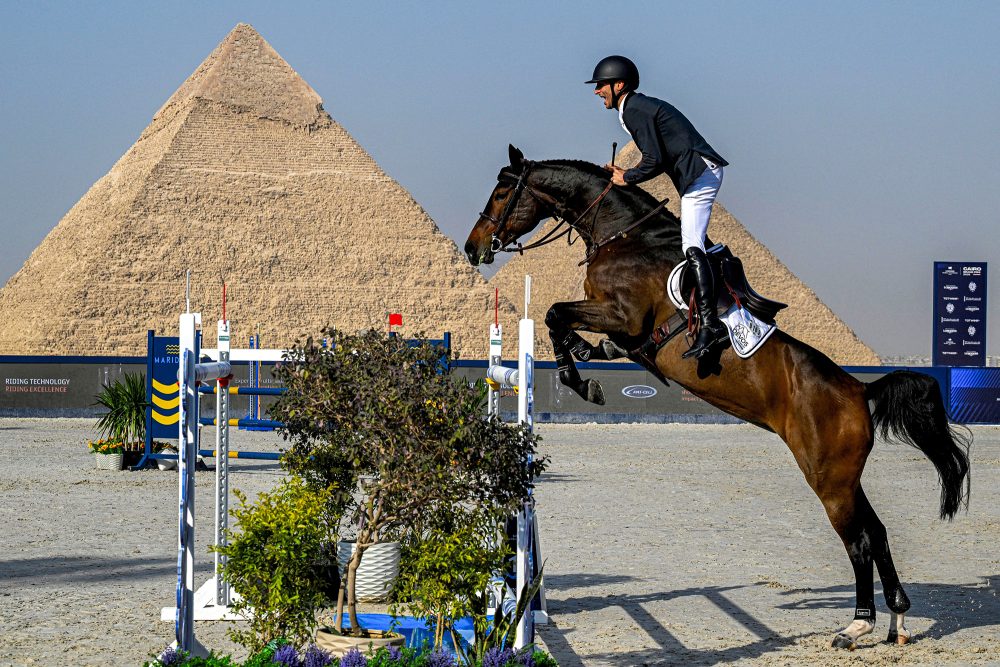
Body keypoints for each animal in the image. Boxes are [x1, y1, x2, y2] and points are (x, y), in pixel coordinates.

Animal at [464, 145, 971, 650]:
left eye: (502, 191)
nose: (473, 248)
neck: (624, 237)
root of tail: (860, 390)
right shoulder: (619, 328)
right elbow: (568, 326)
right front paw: (587, 358)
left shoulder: (623, 317)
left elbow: (554, 315)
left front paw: (580, 378)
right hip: (844, 477)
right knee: (878, 533)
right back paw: (897, 619)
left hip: (829, 479)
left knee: (859, 540)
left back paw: (857, 624)